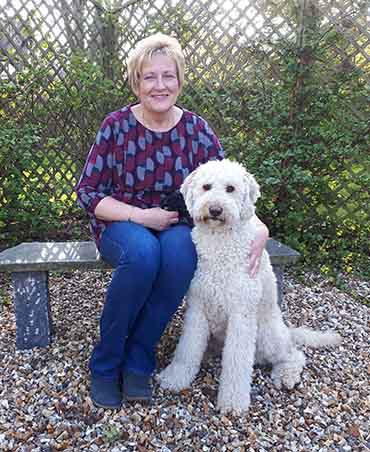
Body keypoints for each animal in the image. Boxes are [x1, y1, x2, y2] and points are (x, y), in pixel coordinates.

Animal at [158, 158, 342, 414]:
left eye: (230, 189)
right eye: (206, 187)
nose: (215, 210)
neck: (220, 243)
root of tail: (287, 330)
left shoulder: (241, 314)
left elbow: (237, 362)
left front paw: (233, 402)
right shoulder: (198, 308)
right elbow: (187, 349)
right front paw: (175, 377)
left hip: (266, 335)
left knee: (294, 355)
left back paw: (286, 374)